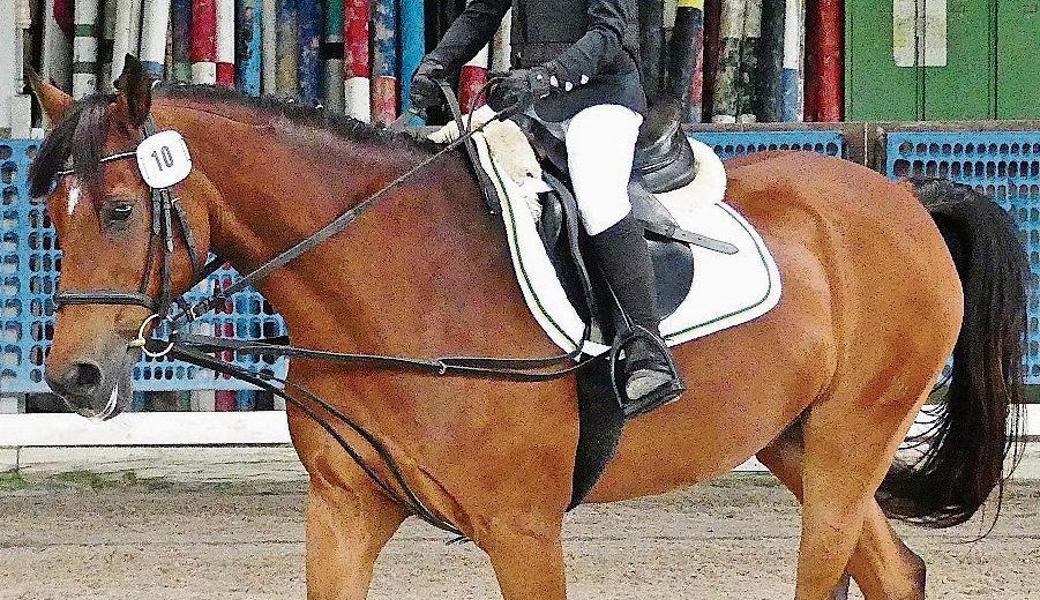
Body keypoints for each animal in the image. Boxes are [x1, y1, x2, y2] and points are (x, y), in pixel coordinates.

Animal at [28, 56, 1027, 600]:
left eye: (119, 211)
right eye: (52, 217)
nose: (74, 377)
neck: (388, 283)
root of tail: (905, 197)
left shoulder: (523, 530)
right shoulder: (345, 509)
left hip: (855, 436)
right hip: (799, 441)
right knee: (895, 571)